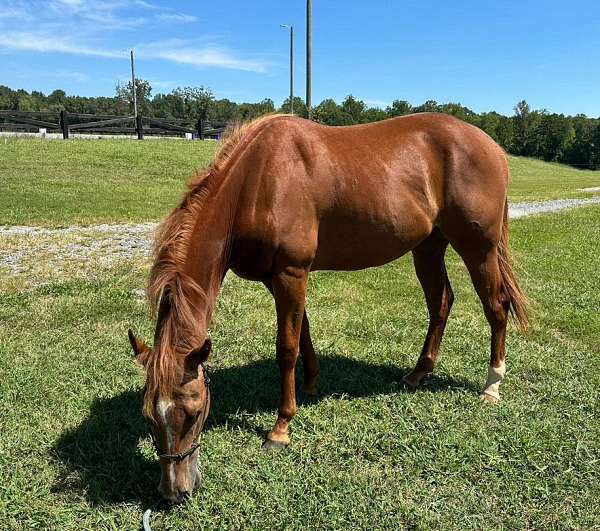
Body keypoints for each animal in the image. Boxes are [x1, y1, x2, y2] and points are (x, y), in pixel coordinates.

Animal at [126, 112, 524, 502]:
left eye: (194, 413)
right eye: (148, 415)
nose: (174, 492)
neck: (256, 179)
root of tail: (492, 147)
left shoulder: (290, 273)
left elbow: (286, 348)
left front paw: (281, 428)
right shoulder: (278, 278)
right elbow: (303, 333)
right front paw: (312, 383)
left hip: (479, 248)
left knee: (496, 308)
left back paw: (492, 386)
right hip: (428, 246)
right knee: (440, 303)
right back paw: (417, 374)